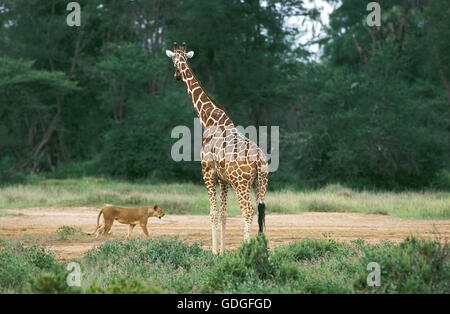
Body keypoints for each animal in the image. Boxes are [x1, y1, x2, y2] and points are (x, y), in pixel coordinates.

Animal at [166, 41, 268, 254]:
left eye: (173, 61)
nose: (176, 75)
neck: (209, 119)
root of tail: (259, 160)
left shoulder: (208, 173)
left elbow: (213, 213)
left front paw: (214, 252)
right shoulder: (223, 180)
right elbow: (223, 214)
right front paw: (222, 252)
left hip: (241, 183)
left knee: (248, 211)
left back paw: (247, 249)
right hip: (261, 182)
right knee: (261, 210)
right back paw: (263, 250)